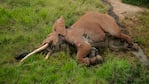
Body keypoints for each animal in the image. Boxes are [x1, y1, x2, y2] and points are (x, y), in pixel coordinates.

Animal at [16, 11, 149, 66]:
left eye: (48, 36)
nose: (18, 58)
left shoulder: (77, 38)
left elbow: (82, 51)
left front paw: (89, 62)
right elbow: (91, 50)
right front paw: (95, 58)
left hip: (109, 25)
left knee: (119, 33)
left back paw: (134, 46)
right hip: (112, 43)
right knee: (116, 45)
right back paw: (131, 46)